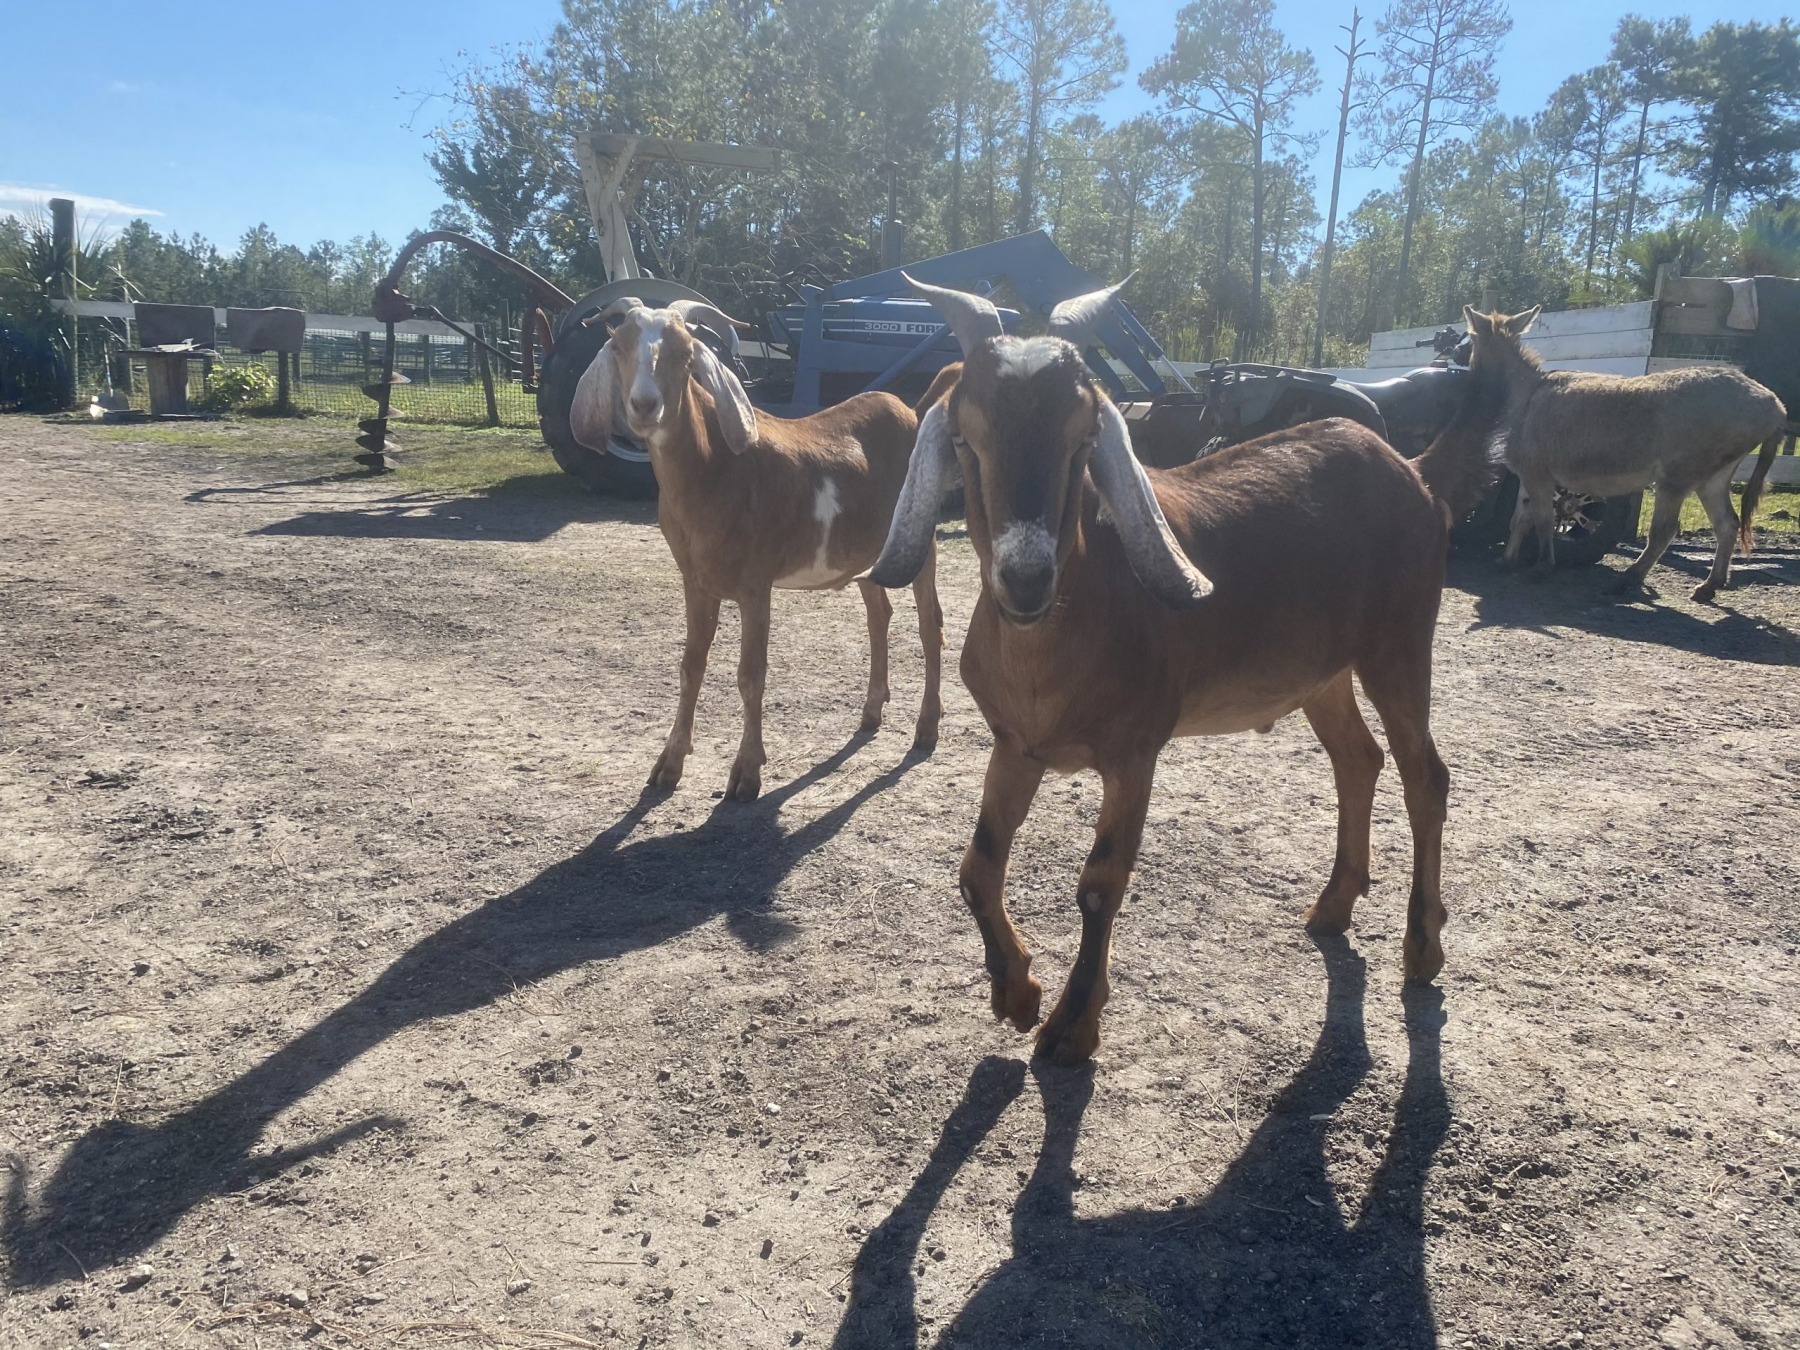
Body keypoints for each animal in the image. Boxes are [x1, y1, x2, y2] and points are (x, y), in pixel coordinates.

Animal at [570, 299, 942, 801]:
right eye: (618, 345)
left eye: (686, 354)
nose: (645, 405)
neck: (716, 469)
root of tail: (910, 411)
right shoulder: (696, 581)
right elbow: (691, 665)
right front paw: (668, 764)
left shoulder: (755, 584)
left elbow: (751, 674)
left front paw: (747, 772)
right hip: (870, 554)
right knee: (879, 615)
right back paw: (871, 712)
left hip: (921, 539)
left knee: (930, 625)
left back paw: (926, 728)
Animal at [867, 275, 1499, 1064]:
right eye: (964, 435)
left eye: (1084, 437)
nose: (1025, 578)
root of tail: (1412, 470)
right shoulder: (1017, 744)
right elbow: (977, 867)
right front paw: (1016, 994)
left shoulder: (1135, 751)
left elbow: (1100, 882)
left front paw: (1072, 1025)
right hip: (1322, 672)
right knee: (1359, 759)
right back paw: (1332, 905)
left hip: (1401, 642)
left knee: (1425, 776)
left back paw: (1421, 949)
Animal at [1472, 306, 1788, 601]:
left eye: (1471, 340)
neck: (1527, 393)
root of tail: (1774, 404)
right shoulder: (1528, 475)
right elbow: (1519, 519)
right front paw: (1506, 561)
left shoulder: (1538, 474)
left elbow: (1543, 521)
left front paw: (1541, 567)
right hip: (1714, 477)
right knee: (1726, 524)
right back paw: (1709, 586)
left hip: (1677, 477)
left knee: (1665, 530)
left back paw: (1626, 580)